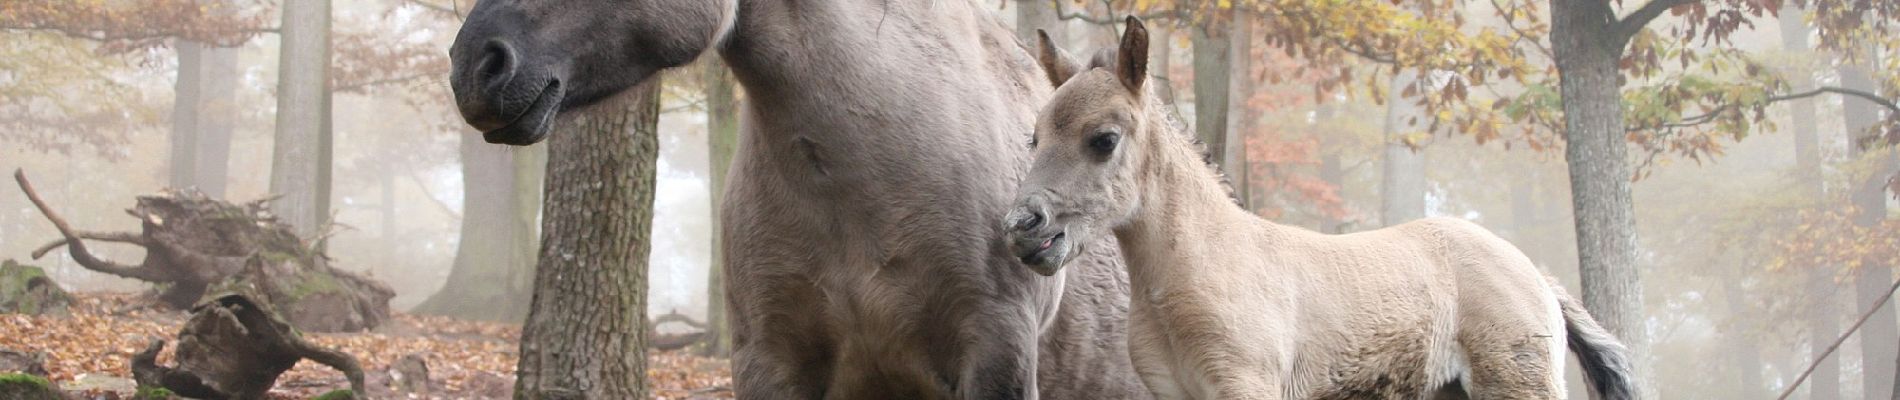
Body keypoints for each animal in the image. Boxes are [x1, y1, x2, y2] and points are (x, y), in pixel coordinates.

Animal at [1003, 17, 1641, 398]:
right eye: (1034, 138)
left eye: (1103, 139)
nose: (1023, 229)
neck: (1203, 267)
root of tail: (1534, 274)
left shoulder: (1246, 386)